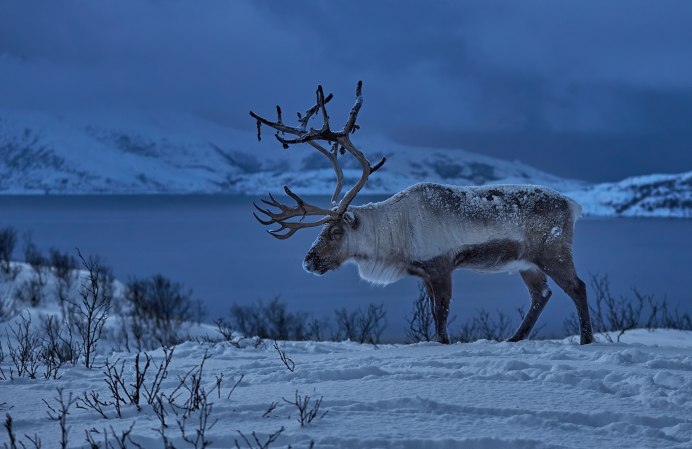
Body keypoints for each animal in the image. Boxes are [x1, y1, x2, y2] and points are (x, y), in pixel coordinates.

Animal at [250, 81, 594, 345]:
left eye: (335, 231)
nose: (309, 261)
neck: (395, 232)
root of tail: (573, 205)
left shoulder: (441, 266)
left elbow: (441, 315)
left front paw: (443, 342)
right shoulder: (425, 273)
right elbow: (432, 313)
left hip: (553, 251)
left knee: (577, 287)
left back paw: (585, 339)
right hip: (526, 262)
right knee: (542, 294)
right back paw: (514, 338)